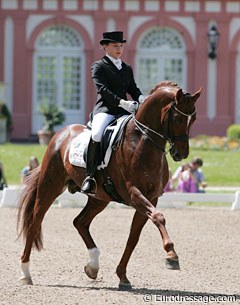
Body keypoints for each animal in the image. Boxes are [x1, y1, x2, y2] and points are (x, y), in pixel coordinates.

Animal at [16, 80, 202, 288]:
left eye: (194, 119)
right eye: (177, 119)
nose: (181, 154)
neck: (142, 141)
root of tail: (60, 135)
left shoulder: (151, 197)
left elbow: (133, 237)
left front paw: (122, 276)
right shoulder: (134, 193)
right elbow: (159, 217)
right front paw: (171, 255)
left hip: (99, 198)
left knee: (80, 222)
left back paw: (92, 266)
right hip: (50, 186)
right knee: (35, 222)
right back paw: (25, 273)